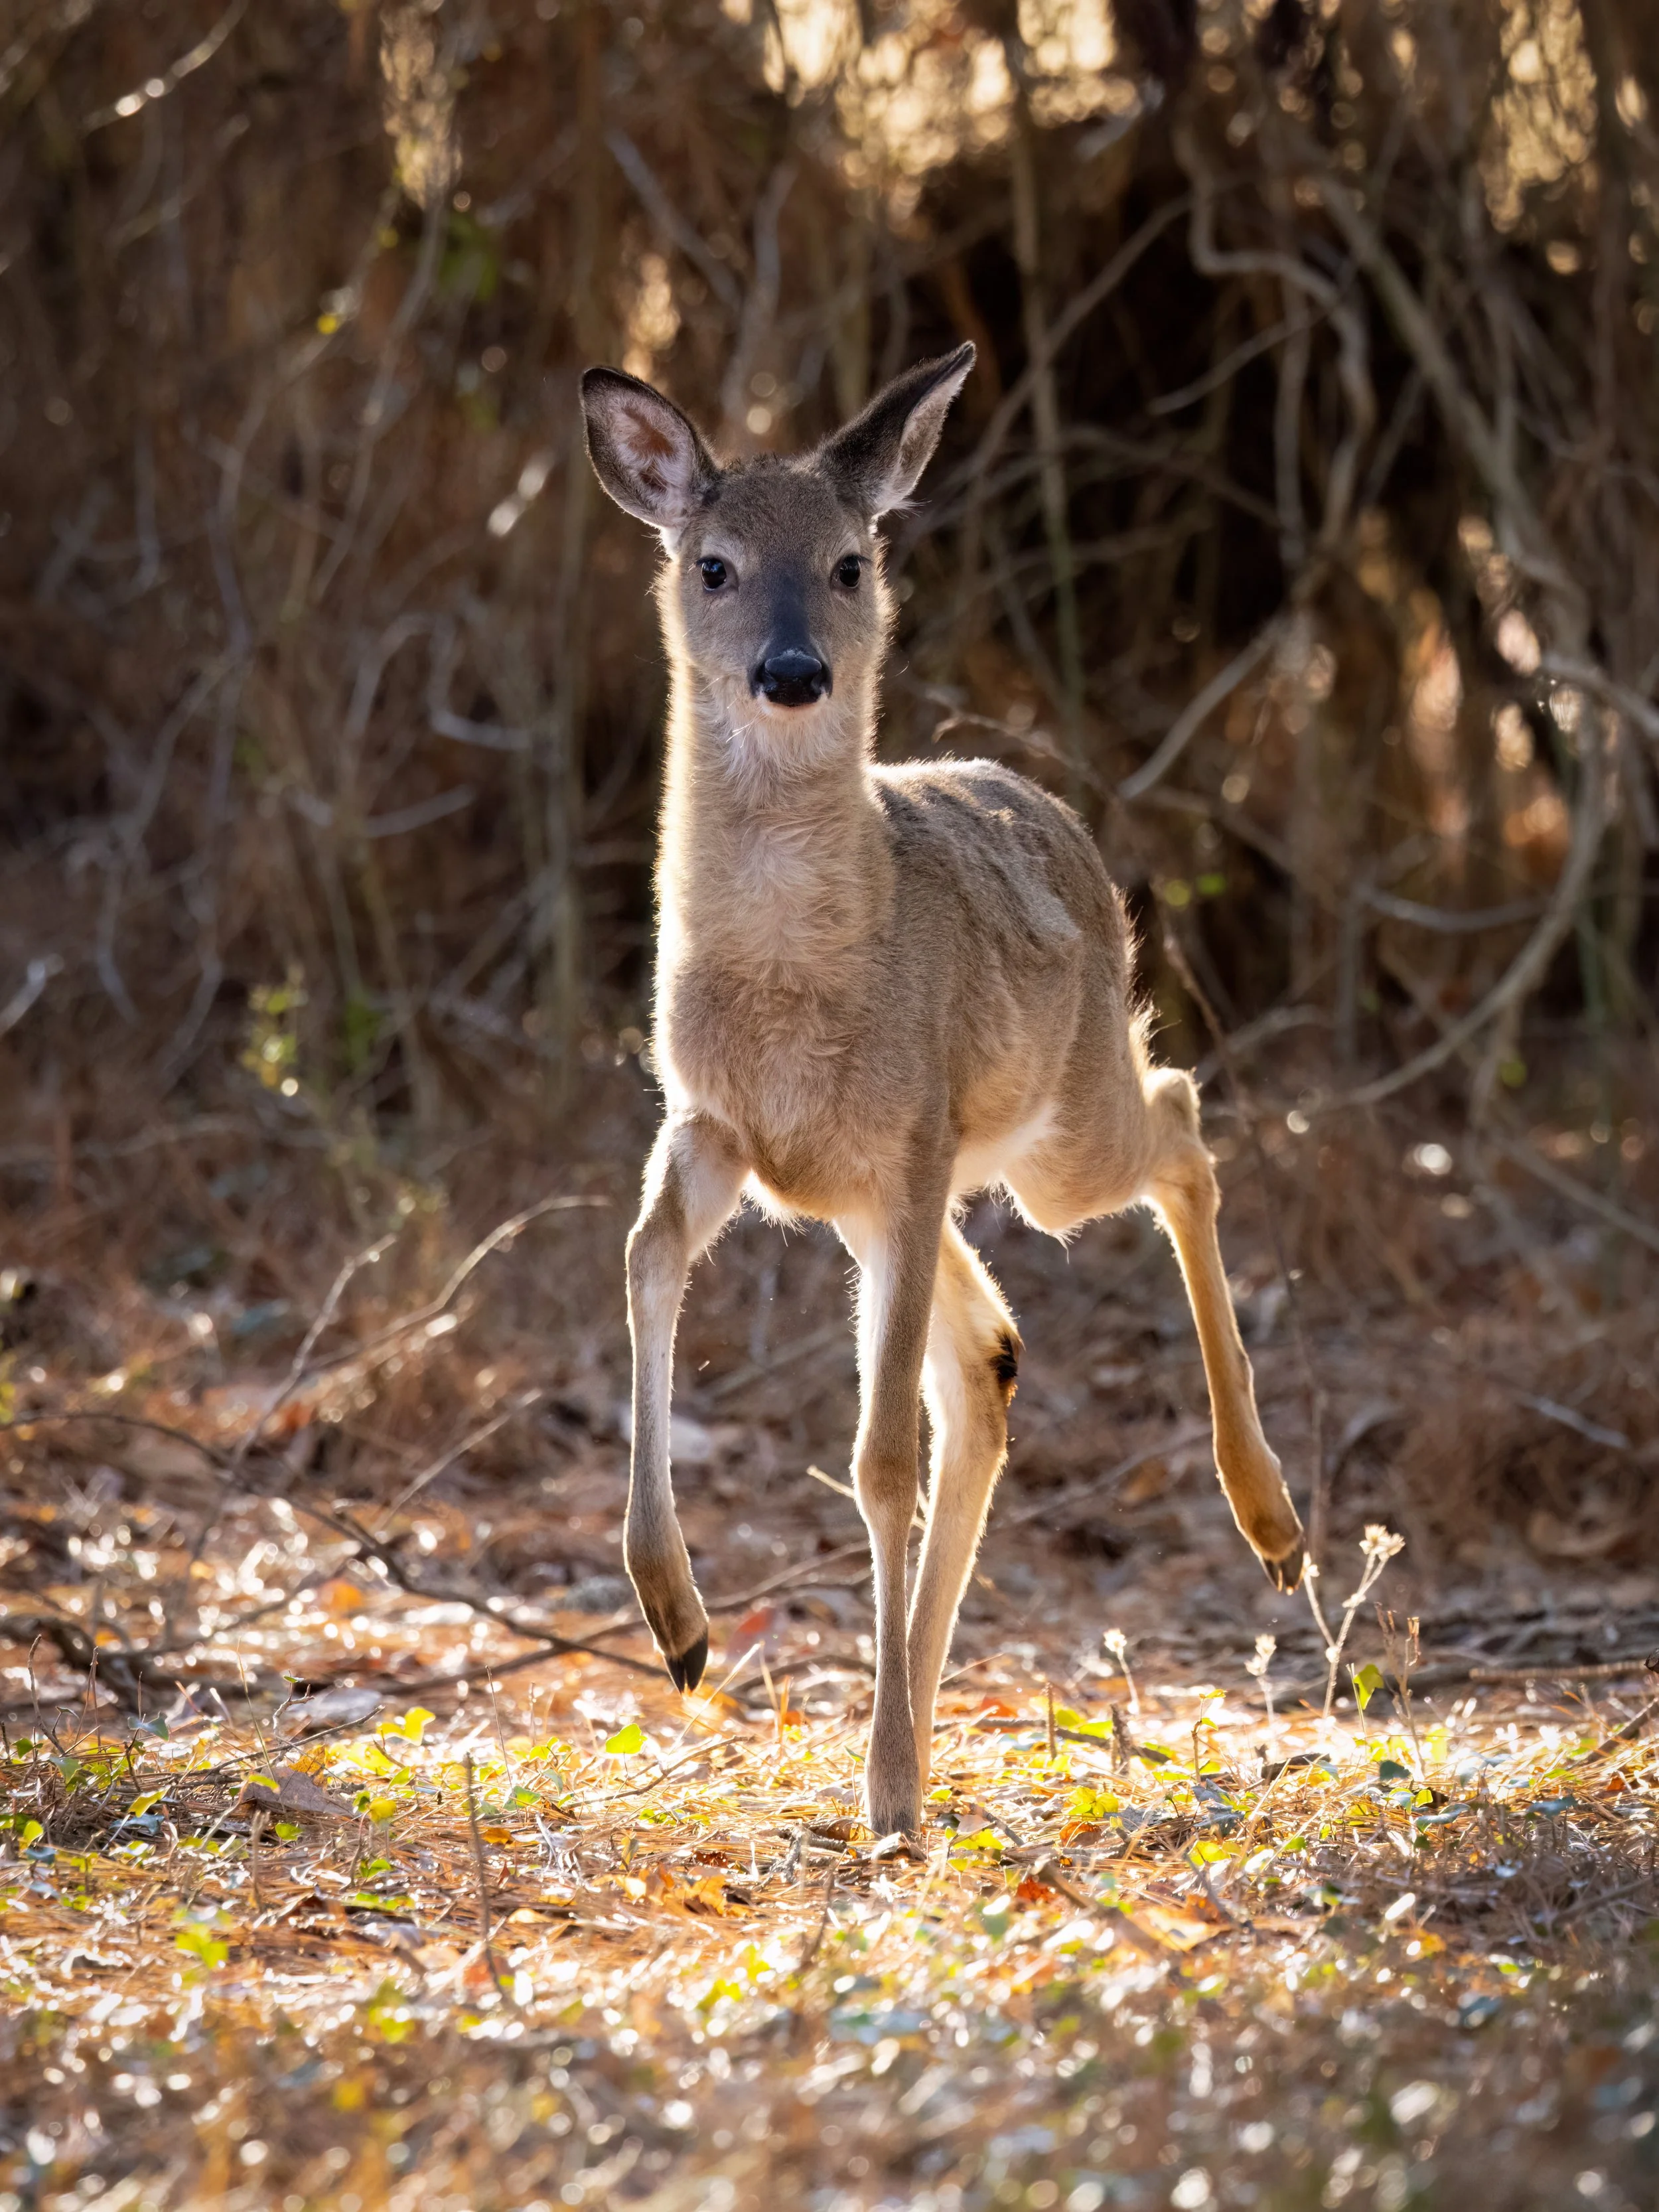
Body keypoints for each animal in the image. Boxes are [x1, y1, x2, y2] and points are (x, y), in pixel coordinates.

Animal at [579, 343, 1305, 1839]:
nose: (793, 671)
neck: (797, 989)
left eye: (850, 561)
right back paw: (906, 1729)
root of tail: (1059, 817)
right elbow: (642, 1261)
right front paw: (678, 1624)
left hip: (1045, 1136)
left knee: (1179, 1122)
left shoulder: (909, 1140)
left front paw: (887, 1782)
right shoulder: (713, 1128)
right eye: (715, 564)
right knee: (992, 1353)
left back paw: (1267, 1524)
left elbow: (874, 1459)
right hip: (892, 1202)